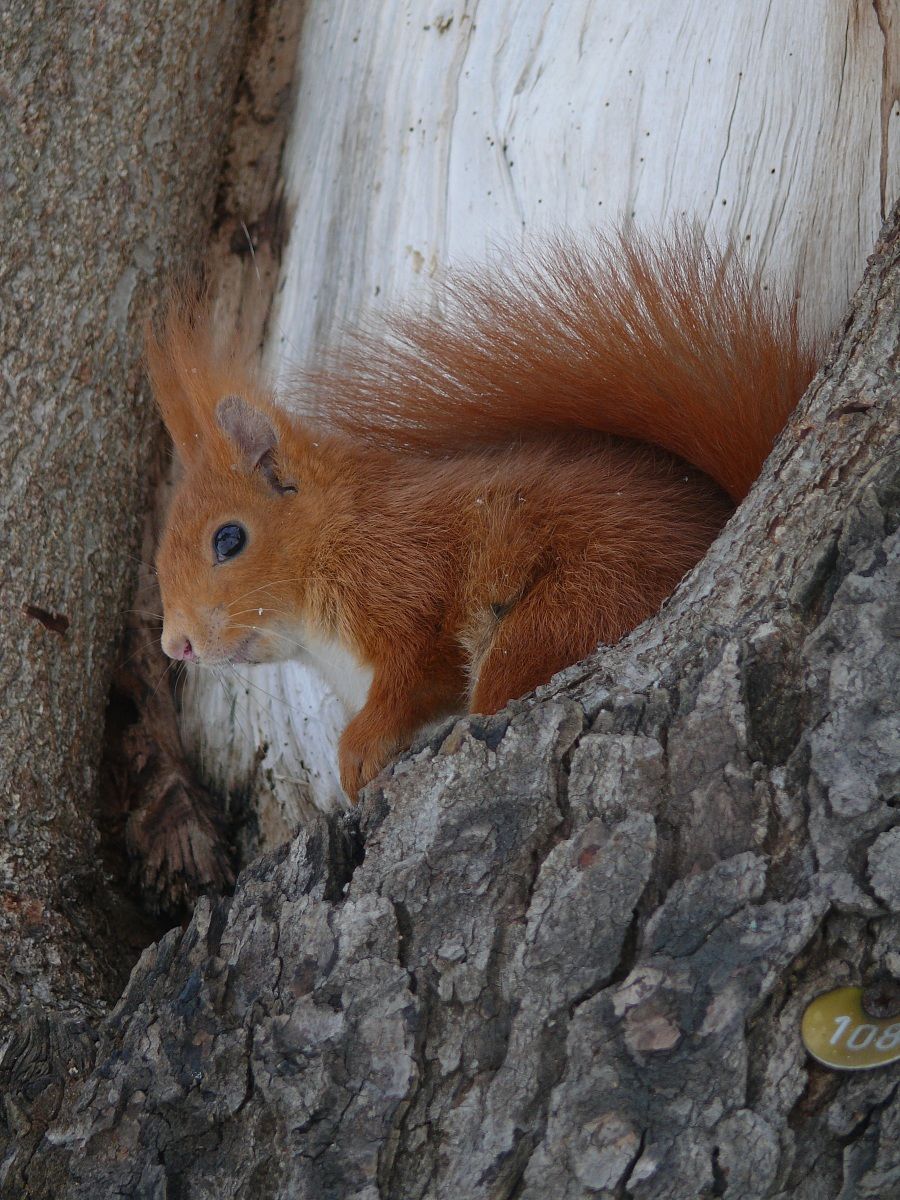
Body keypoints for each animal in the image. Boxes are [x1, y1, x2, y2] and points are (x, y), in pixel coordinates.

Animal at [147, 228, 818, 802]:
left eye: (229, 539)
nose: (175, 645)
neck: (336, 535)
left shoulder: (404, 579)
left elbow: (413, 674)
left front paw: (358, 754)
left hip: (563, 616)